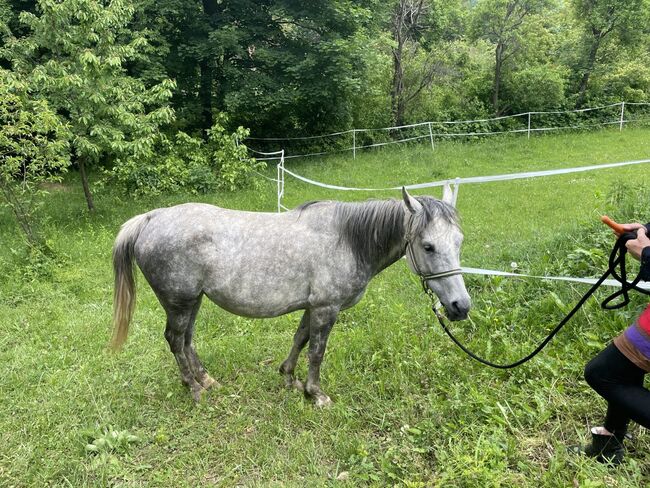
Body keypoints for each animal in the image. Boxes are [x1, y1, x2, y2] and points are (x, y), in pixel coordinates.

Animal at [110, 188, 471, 406]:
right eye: (428, 246)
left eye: (459, 241)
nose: (461, 306)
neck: (348, 240)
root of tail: (150, 218)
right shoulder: (327, 308)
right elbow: (317, 351)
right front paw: (316, 393)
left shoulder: (313, 306)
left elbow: (300, 339)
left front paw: (289, 378)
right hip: (180, 301)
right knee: (175, 339)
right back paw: (194, 388)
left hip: (192, 300)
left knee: (186, 340)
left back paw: (205, 379)